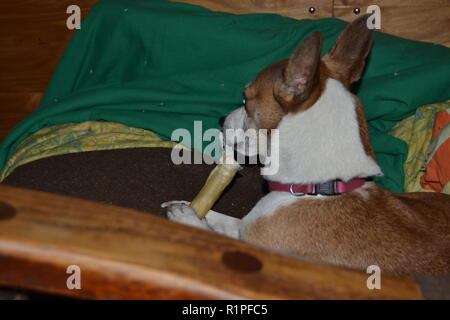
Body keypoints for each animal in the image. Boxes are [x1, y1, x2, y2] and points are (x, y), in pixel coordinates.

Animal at [165, 15, 450, 276]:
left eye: (245, 99)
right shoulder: (249, 225)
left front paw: (187, 217)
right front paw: (188, 207)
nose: (221, 119)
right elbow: (230, 221)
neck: (320, 188)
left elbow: (217, 235)